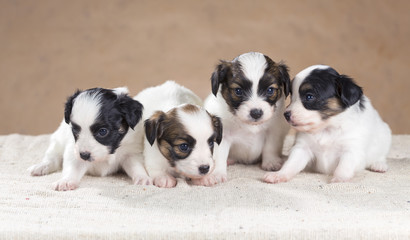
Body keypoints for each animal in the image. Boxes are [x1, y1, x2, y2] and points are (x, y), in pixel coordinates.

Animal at [203, 51, 290, 185]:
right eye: (238, 91)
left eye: (270, 90)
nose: (256, 113)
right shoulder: (222, 135)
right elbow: (219, 155)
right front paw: (216, 174)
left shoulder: (274, 130)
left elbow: (271, 146)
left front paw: (271, 162)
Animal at [264, 64, 392, 183]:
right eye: (292, 96)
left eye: (309, 96)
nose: (286, 114)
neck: (327, 128)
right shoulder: (302, 148)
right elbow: (291, 164)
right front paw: (279, 175)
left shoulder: (351, 150)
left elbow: (344, 167)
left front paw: (339, 179)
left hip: (385, 136)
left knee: (381, 155)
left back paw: (379, 164)